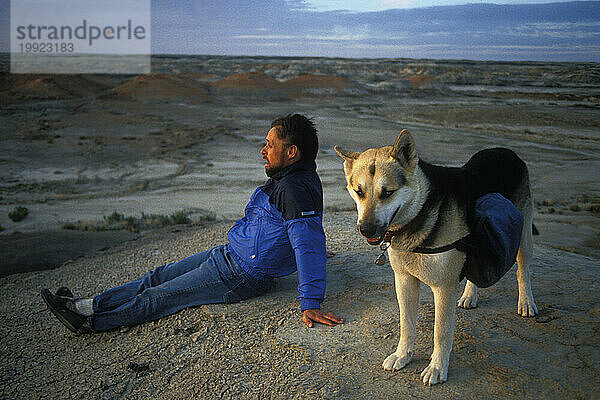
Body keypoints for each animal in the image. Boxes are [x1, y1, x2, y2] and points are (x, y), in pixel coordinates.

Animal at [336, 130, 536, 386]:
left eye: (387, 193)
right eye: (358, 191)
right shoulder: (404, 280)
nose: (366, 230)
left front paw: (437, 368)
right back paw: (470, 296)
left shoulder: (444, 288)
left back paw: (526, 302)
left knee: (523, 270)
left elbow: (441, 332)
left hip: (523, 236)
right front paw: (403, 355)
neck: (421, 209)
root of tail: (507, 151)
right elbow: (406, 324)